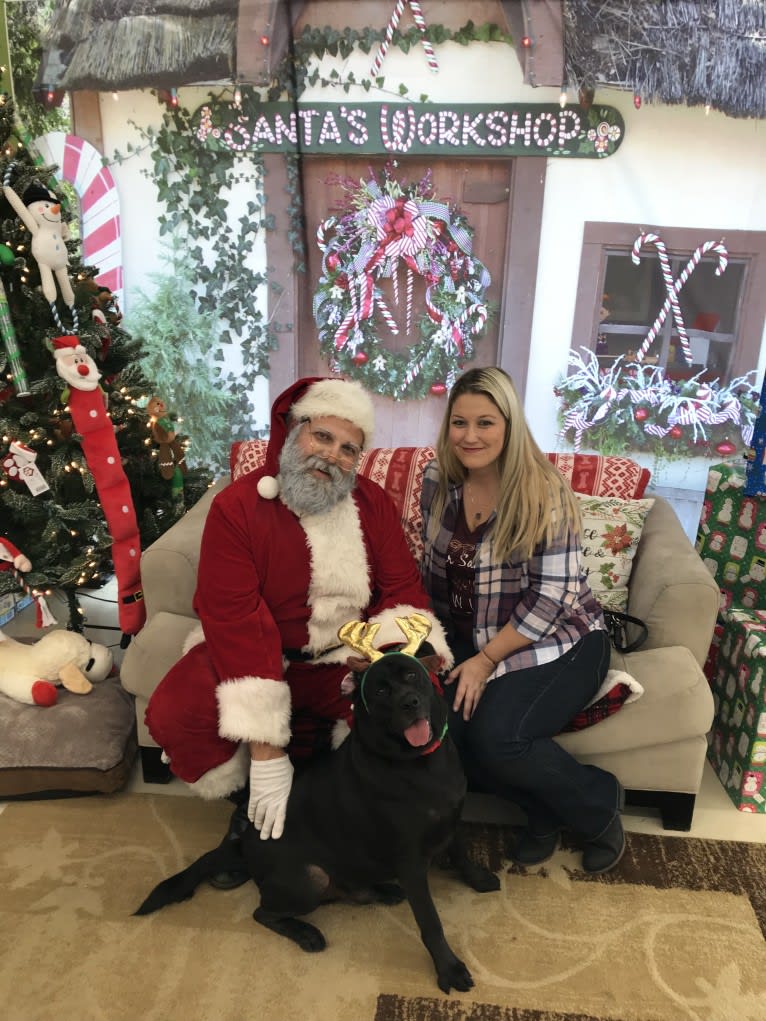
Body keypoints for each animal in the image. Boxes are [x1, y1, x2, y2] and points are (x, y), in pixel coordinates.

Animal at [134, 616, 500, 992]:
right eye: (380, 691)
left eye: (413, 676)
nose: (410, 702)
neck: (417, 761)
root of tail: (244, 845)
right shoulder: (410, 861)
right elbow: (430, 921)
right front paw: (449, 968)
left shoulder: (451, 818)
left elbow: (461, 853)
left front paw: (477, 878)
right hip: (311, 878)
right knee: (264, 912)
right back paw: (307, 932)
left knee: (352, 891)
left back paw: (381, 890)